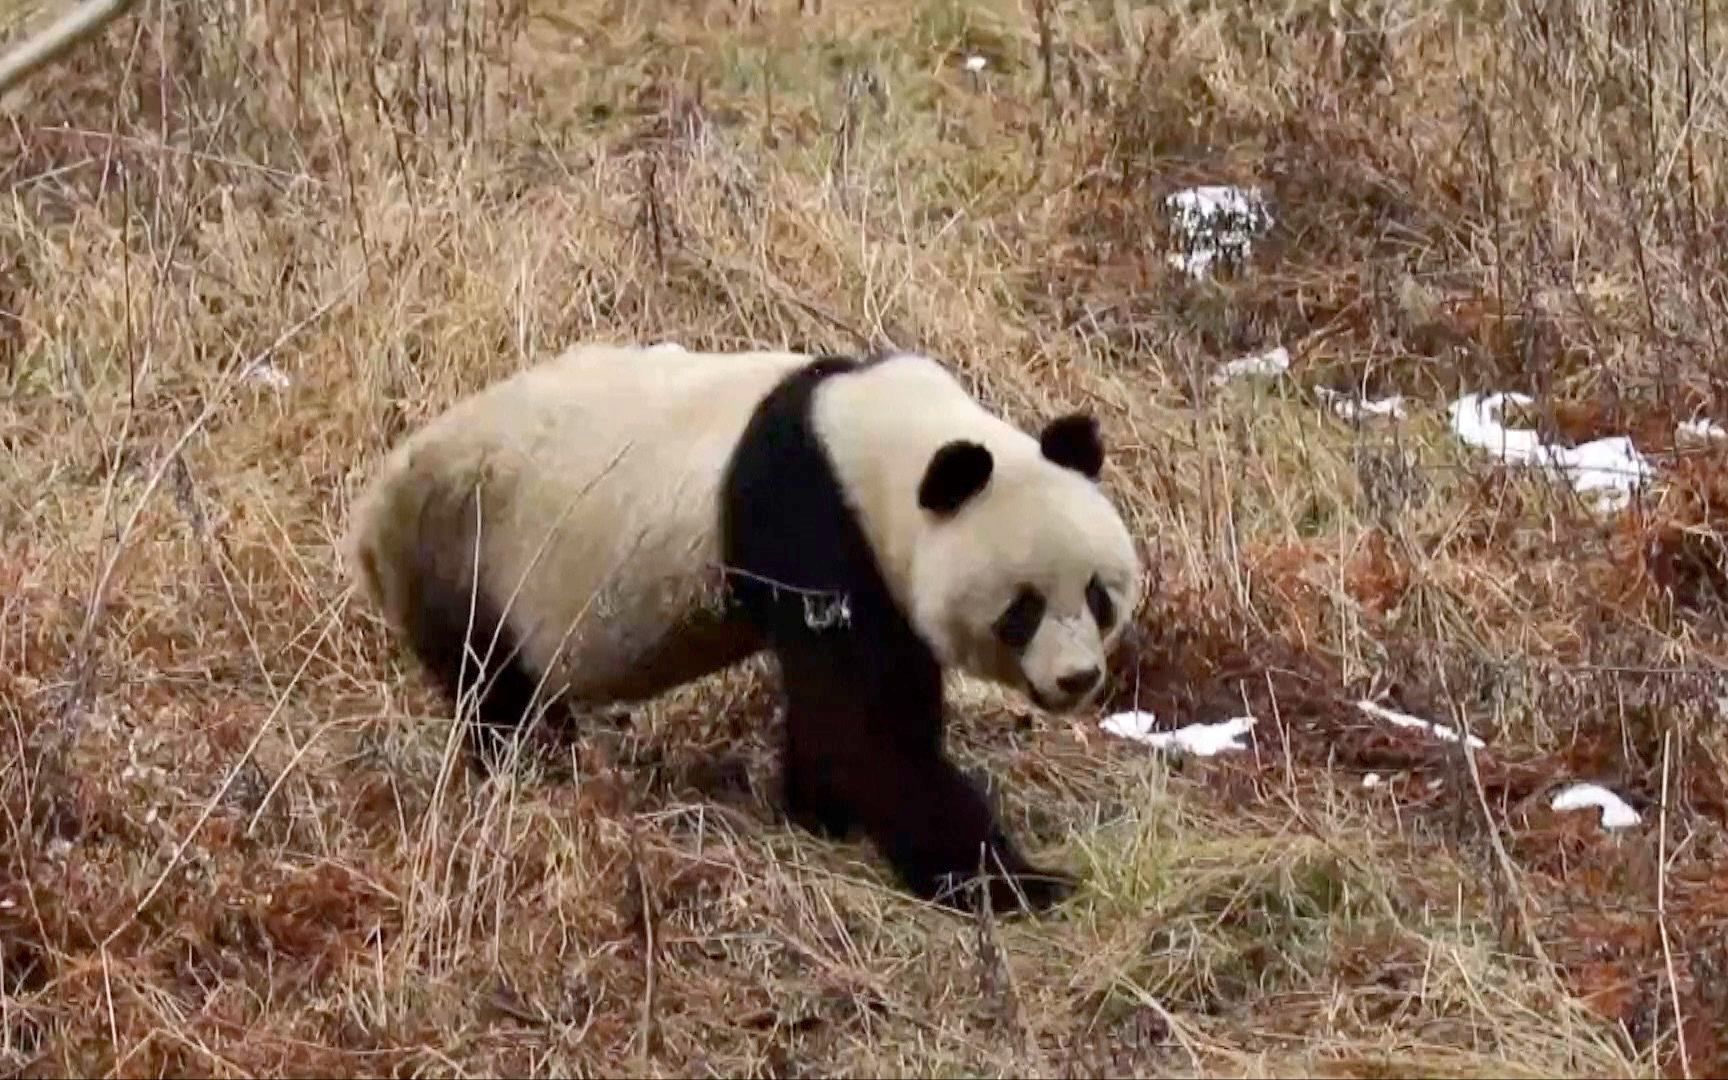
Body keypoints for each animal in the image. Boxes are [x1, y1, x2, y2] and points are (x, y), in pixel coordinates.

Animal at [343, 340, 1140, 912]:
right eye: (1022, 609)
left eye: (1098, 595)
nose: (1078, 679)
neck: (870, 440)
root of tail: (370, 511)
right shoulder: (806, 516)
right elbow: (867, 723)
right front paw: (1014, 883)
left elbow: (841, 709)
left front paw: (818, 813)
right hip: (465, 549)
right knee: (493, 689)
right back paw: (538, 773)